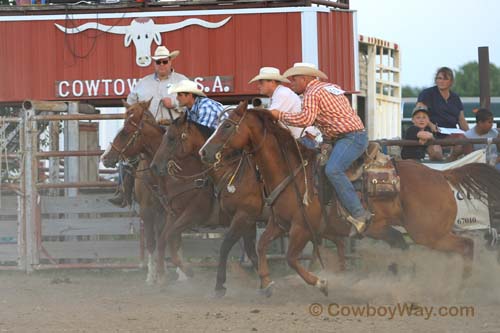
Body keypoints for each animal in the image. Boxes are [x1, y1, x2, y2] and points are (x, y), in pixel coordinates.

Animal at [150, 113, 348, 296]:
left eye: (171, 138)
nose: (154, 165)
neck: (231, 171)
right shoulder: (245, 221)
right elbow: (252, 251)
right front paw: (264, 282)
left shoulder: (214, 215)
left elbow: (224, 245)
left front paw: (217, 284)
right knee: (336, 242)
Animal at [199, 101, 500, 296]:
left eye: (227, 125)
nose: (204, 152)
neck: (292, 172)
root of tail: (442, 174)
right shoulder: (279, 224)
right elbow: (262, 247)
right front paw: (266, 283)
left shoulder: (302, 228)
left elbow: (291, 258)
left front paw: (321, 283)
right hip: (393, 230)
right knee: (406, 246)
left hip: (428, 233)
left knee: (465, 246)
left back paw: (461, 287)